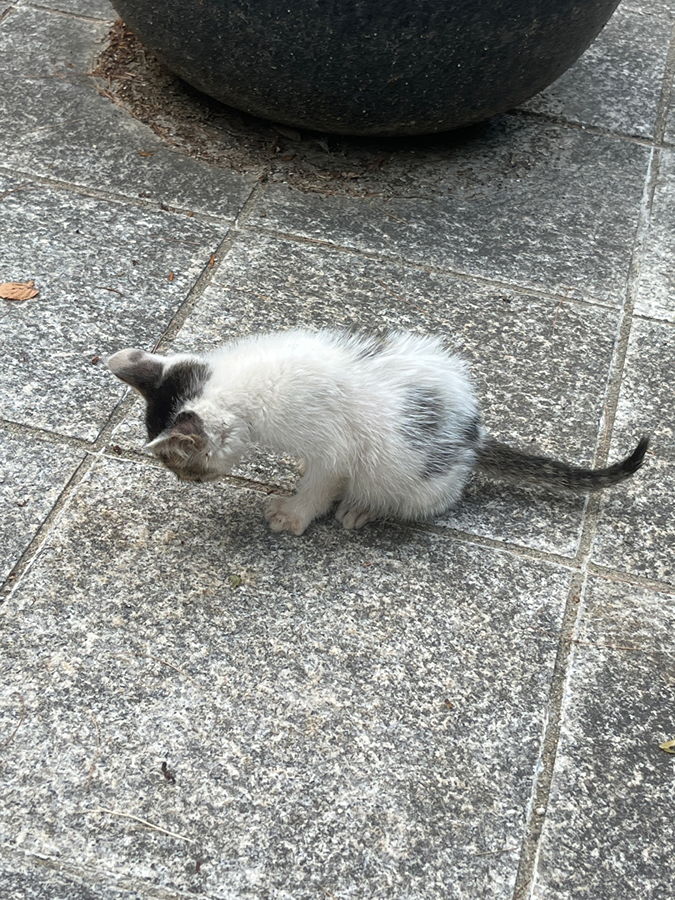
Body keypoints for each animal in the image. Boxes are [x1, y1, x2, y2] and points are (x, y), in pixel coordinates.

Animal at [107, 328, 648, 536]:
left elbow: (322, 482)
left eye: (180, 465)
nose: (187, 483)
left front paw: (294, 514)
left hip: (408, 472)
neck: (245, 386)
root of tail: (472, 439)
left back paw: (363, 507)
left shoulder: (334, 446)